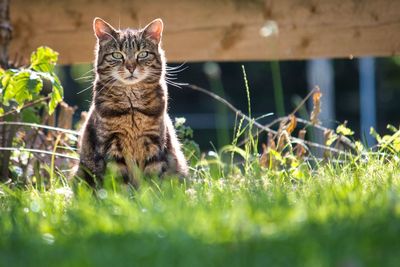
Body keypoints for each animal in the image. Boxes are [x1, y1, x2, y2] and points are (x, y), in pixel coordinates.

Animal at [76, 17, 189, 187]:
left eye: (143, 54)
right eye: (117, 55)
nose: (130, 67)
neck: (132, 107)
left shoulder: (153, 142)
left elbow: (152, 179)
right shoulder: (112, 145)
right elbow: (119, 183)